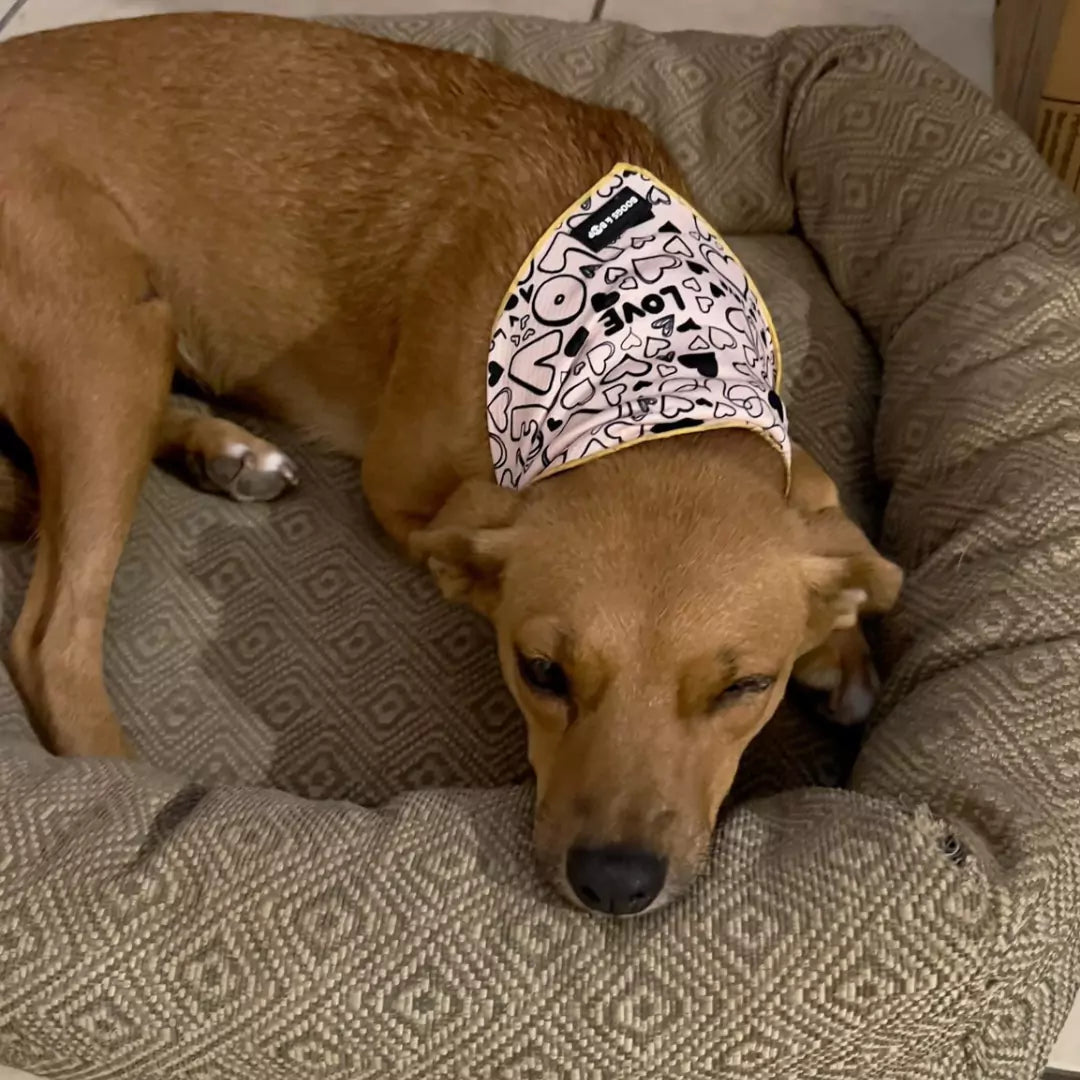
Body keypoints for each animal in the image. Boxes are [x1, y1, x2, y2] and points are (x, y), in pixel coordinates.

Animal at [0, 12, 902, 915]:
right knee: (49, 643)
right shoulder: (407, 494)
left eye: (746, 688)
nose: (615, 883)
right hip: (105, 338)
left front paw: (840, 645)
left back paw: (223, 450)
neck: (640, 370)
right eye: (540, 672)